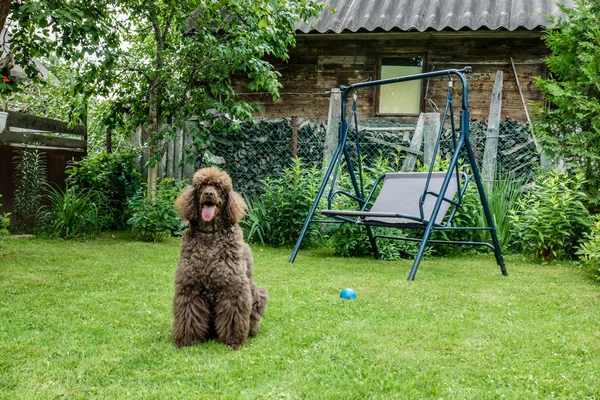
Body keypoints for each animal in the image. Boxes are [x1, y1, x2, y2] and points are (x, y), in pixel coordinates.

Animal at [172, 167, 268, 348]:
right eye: (202, 186)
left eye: (219, 187)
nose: (209, 194)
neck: (210, 237)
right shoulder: (190, 286)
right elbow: (189, 314)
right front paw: (187, 340)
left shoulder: (232, 288)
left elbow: (233, 316)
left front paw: (233, 340)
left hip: (257, 294)